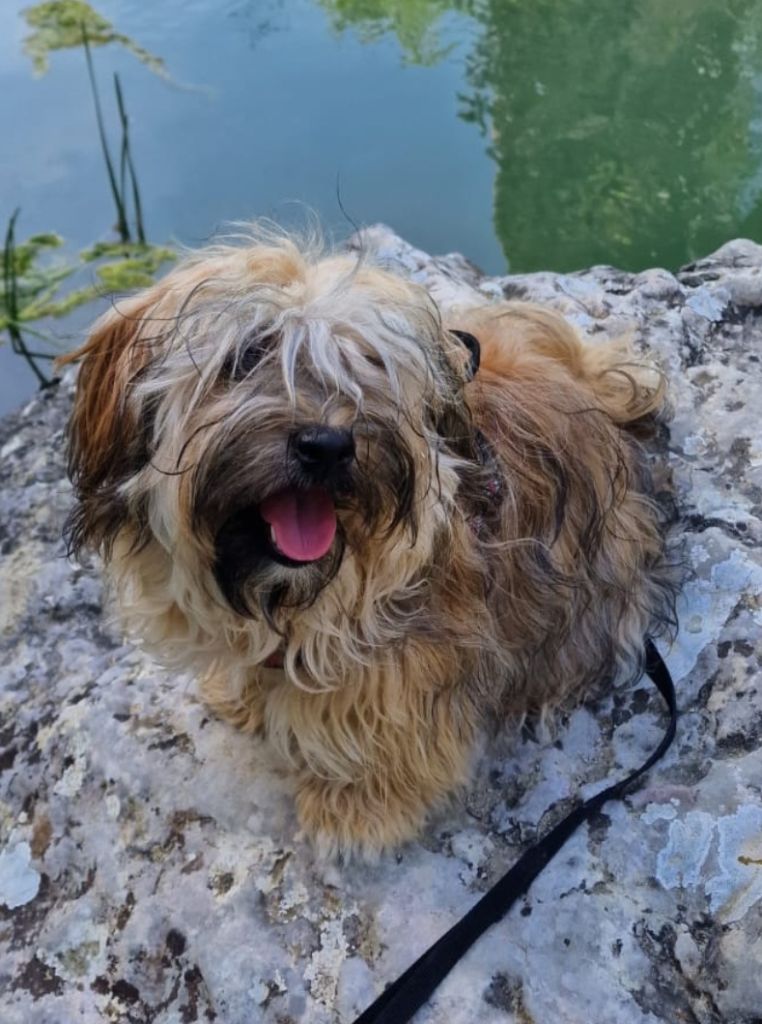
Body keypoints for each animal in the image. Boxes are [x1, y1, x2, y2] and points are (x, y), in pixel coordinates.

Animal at [62, 230, 675, 856]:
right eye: (248, 356)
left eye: (369, 363)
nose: (328, 446)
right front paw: (241, 694)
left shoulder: (414, 664)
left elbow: (384, 734)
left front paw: (356, 808)